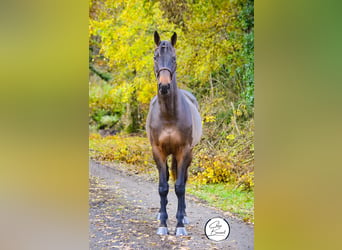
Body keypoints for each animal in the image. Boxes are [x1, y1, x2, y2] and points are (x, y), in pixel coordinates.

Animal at [146, 31, 202, 236]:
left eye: (174, 57)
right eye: (155, 57)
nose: (164, 86)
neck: (169, 115)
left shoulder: (183, 151)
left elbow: (179, 187)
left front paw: (179, 225)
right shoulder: (158, 152)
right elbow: (163, 187)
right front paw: (163, 224)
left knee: (182, 179)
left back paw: (183, 216)